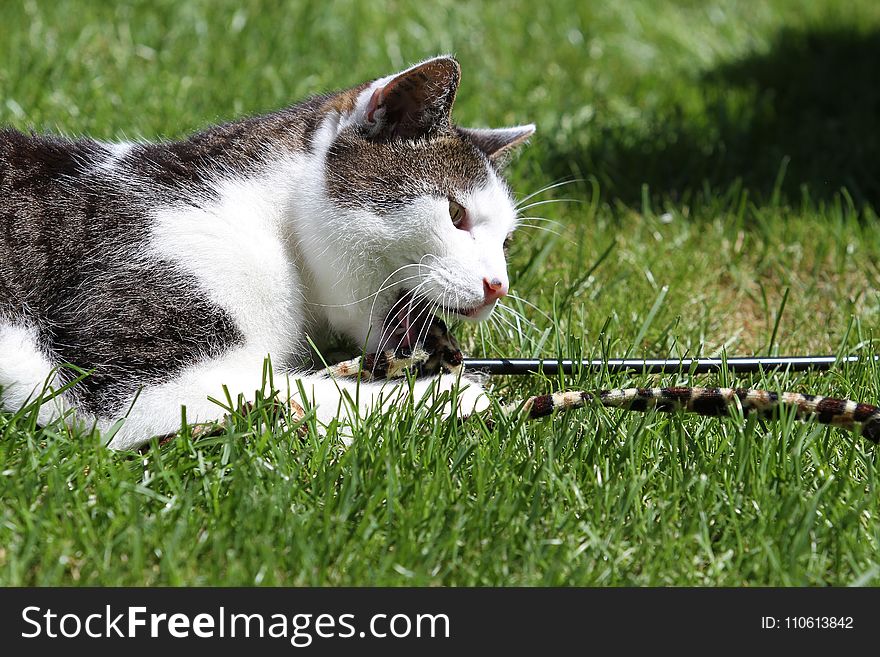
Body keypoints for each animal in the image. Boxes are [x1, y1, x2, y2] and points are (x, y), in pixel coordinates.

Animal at [0, 56, 536, 448]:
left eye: (506, 242)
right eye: (455, 214)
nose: (499, 286)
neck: (278, 236)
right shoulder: (136, 386)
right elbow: (299, 390)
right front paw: (453, 396)